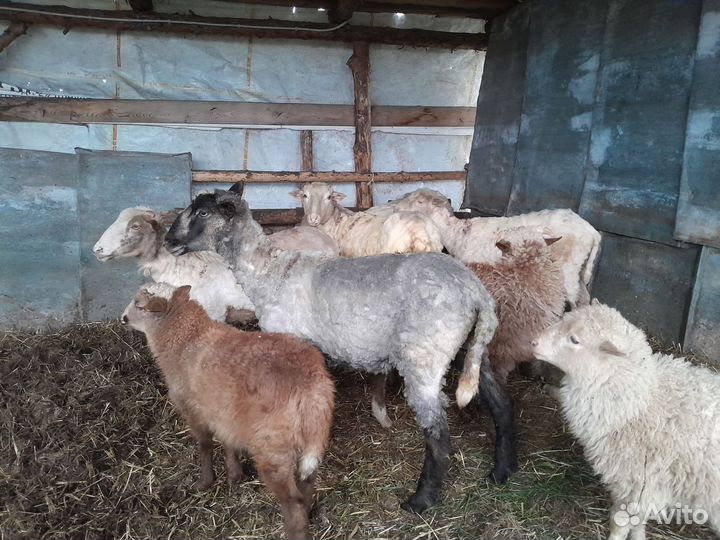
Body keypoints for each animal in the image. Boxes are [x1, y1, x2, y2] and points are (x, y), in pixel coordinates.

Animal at [121, 282, 334, 540]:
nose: (122, 319)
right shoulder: (224, 413)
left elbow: (204, 444)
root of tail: (310, 387)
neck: (186, 338)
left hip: (273, 448)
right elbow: (228, 441)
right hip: (312, 441)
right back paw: (309, 510)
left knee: (292, 501)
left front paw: (205, 481)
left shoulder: (193, 409)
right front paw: (234, 474)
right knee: (307, 483)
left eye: (139, 305)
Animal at [390, 188, 602, 308]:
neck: (457, 232)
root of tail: (591, 231)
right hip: (579, 269)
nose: (392, 205)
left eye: (419, 201)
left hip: (568, 268)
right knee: (584, 298)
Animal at [532, 301, 720, 540]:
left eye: (574, 340)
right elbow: (636, 522)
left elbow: (620, 523)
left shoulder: (639, 483)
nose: (533, 342)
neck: (638, 403)